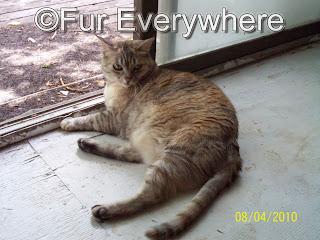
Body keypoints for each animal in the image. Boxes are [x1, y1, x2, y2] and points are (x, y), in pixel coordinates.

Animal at [60, 35, 242, 238]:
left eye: (137, 67)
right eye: (118, 67)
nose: (127, 78)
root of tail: (233, 149)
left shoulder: (111, 119)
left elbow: (90, 118)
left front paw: (69, 122)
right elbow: (89, 112)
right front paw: (73, 114)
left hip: (172, 155)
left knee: (151, 194)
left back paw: (106, 209)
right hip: (148, 141)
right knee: (128, 154)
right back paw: (87, 145)